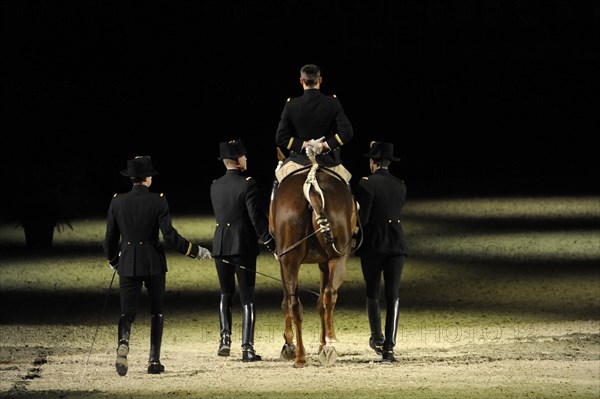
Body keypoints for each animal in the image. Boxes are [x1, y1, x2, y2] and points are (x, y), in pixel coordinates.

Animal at [268, 151, 356, 368]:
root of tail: (312, 183)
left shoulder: (284, 262)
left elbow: (287, 302)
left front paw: (289, 344)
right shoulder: (322, 263)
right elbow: (320, 302)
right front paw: (321, 344)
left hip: (292, 260)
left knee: (296, 304)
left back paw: (300, 355)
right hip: (337, 259)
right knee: (329, 295)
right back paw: (329, 346)